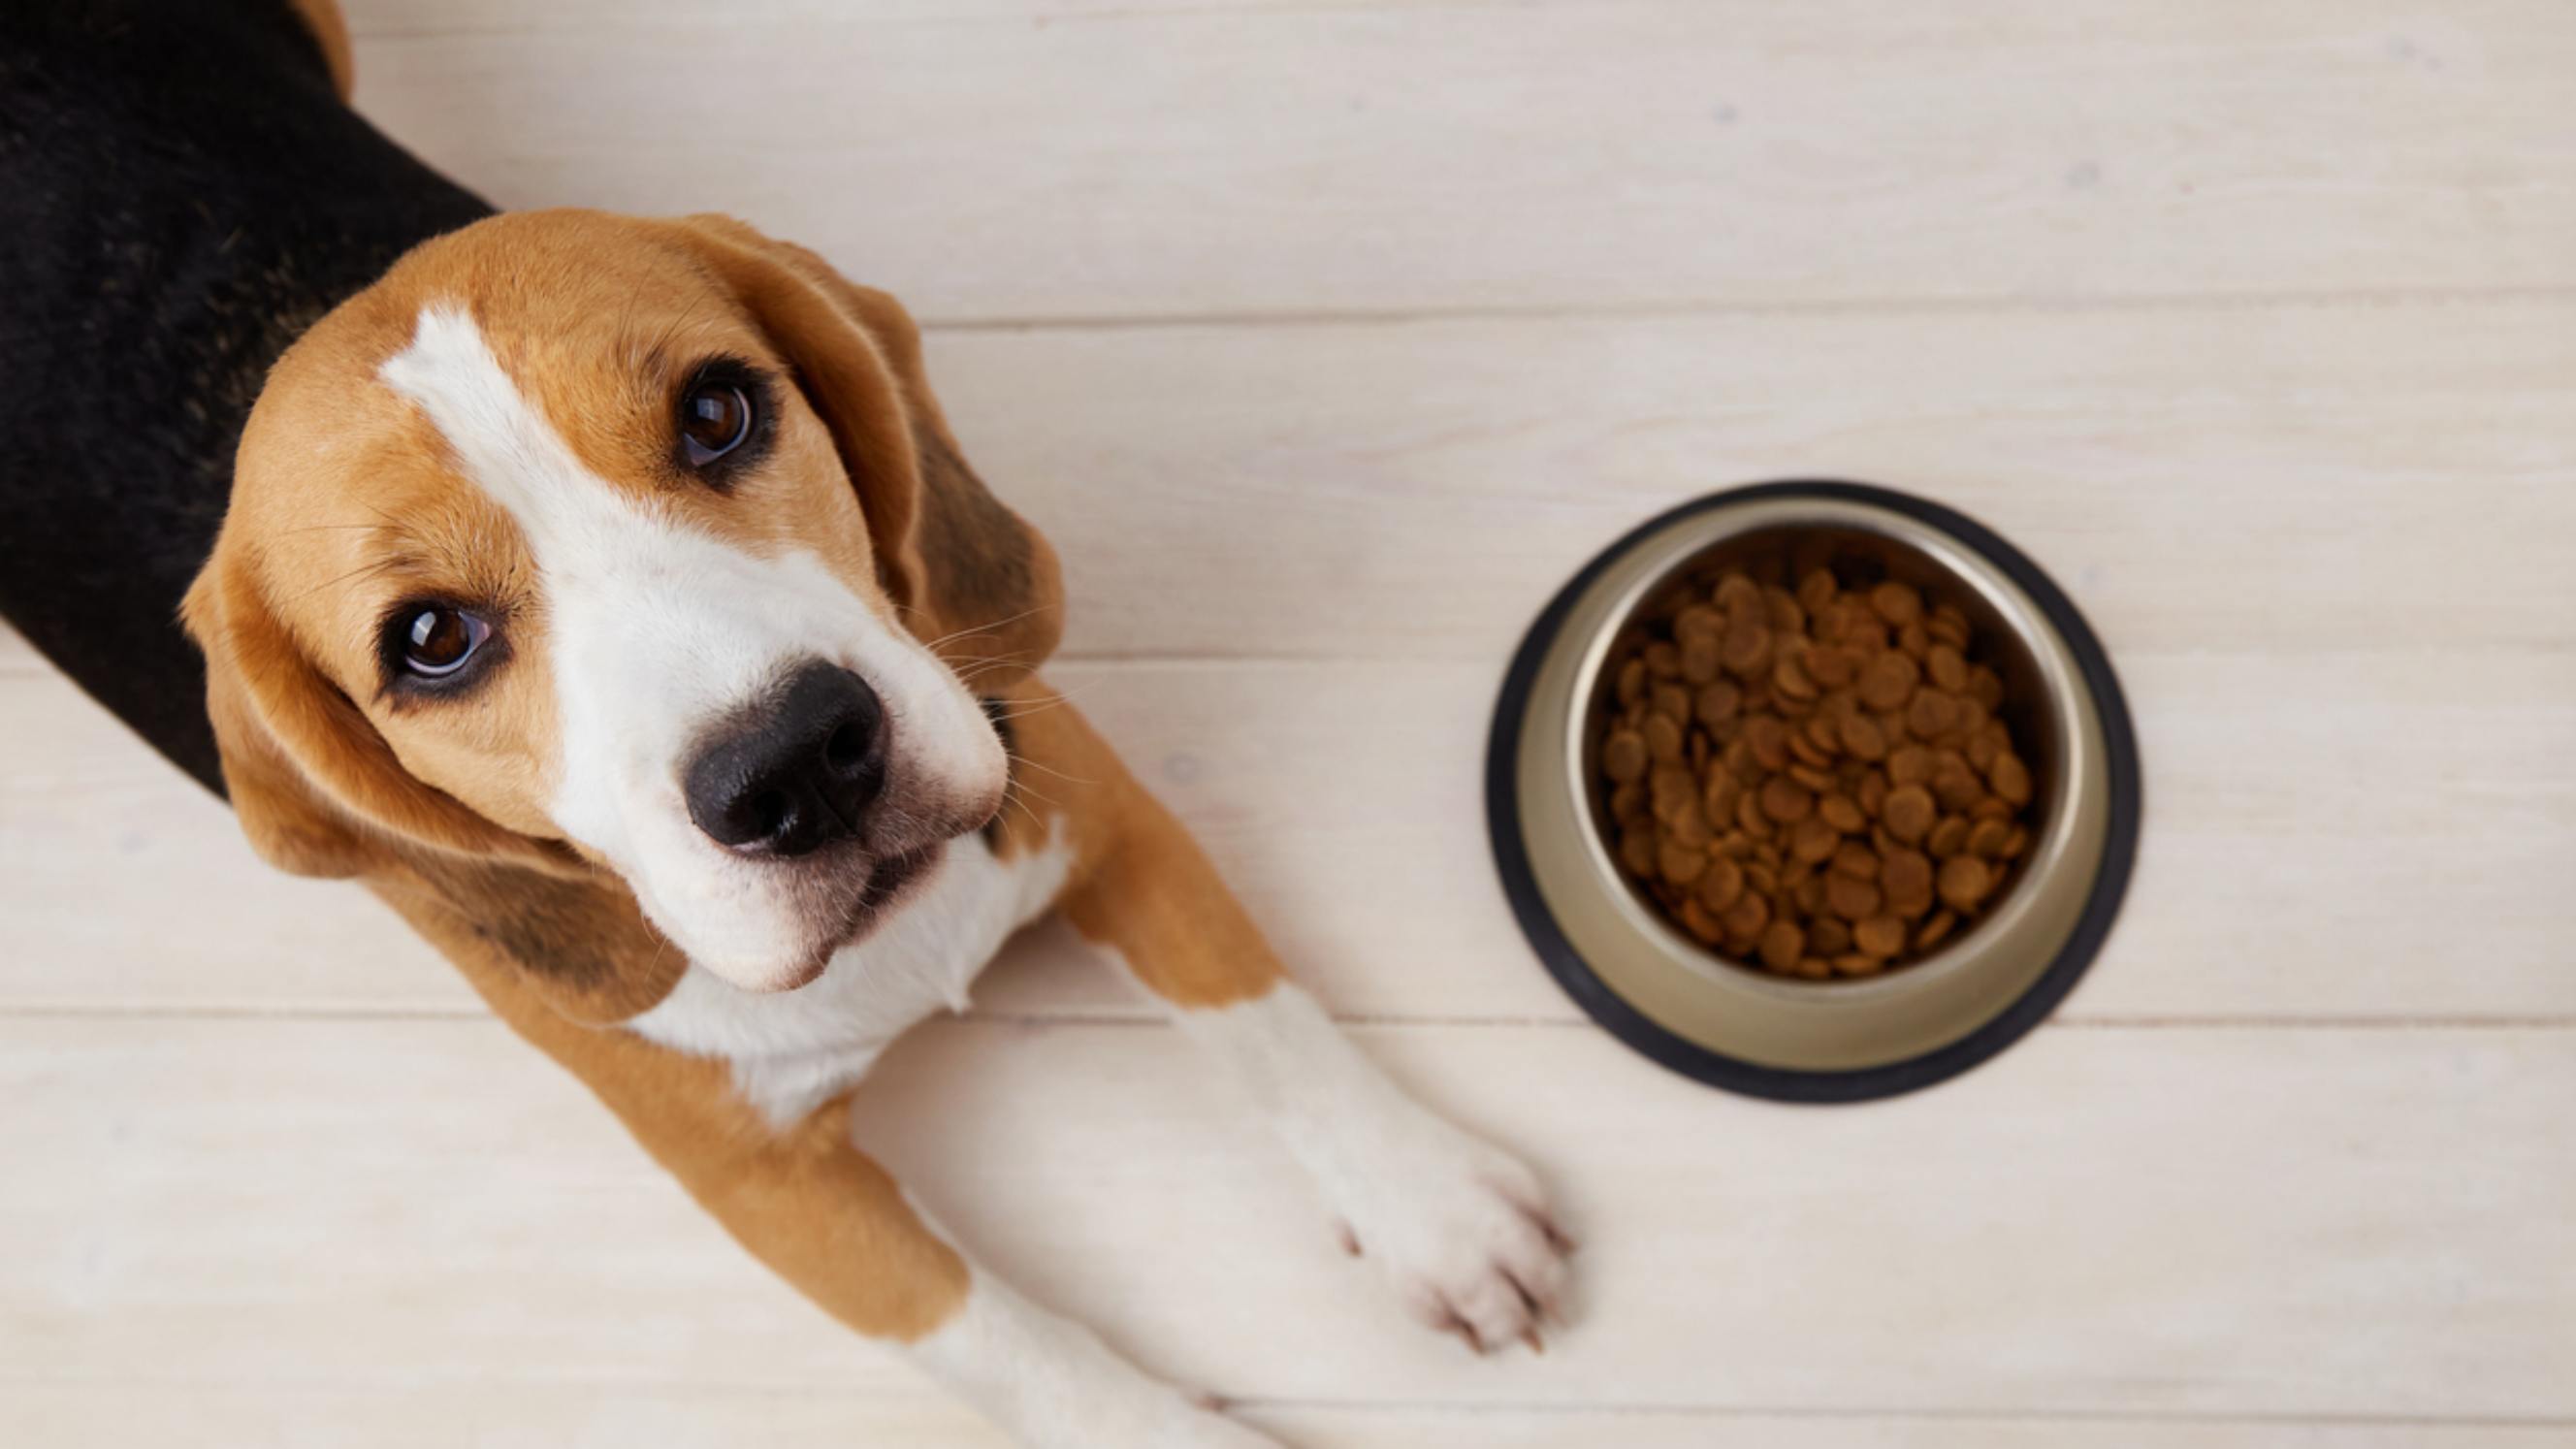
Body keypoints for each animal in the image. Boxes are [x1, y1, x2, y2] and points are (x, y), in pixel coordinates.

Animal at [55, 2, 1565, 1433]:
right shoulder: (766, 1188)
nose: (797, 764)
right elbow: (1011, 1351)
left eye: (718, 410)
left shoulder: (1087, 793)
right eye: (430, 643)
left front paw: (1431, 1205)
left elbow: (1261, 1009)